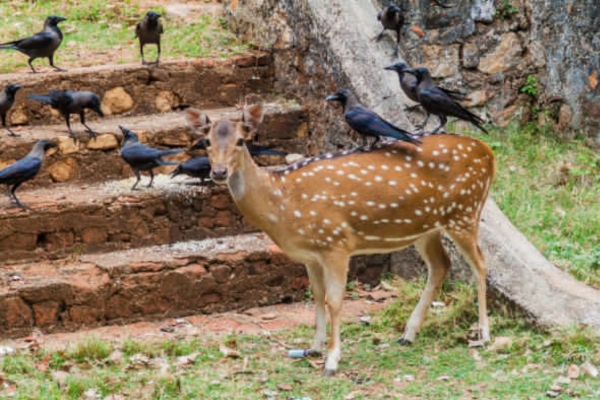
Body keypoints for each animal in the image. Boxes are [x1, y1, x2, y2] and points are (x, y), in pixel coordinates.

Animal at [188, 104, 496, 376]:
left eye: (241, 141)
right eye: (206, 141)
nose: (218, 172)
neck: (283, 203)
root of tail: (488, 152)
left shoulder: (336, 242)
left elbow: (335, 300)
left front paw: (332, 361)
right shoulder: (310, 256)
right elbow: (317, 295)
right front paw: (313, 348)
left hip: (465, 211)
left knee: (480, 264)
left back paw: (483, 334)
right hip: (426, 227)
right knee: (441, 265)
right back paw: (408, 334)